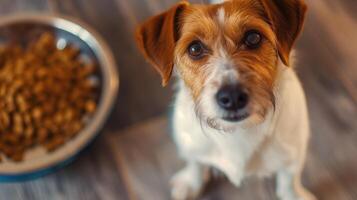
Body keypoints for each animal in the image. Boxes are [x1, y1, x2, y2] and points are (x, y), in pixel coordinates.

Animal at [134, 0, 314, 199]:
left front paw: (293, 194)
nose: (232, 97)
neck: (237, 132)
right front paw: (191, 182)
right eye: (195, 48)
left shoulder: (293, 155)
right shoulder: (190, 146)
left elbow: (289, 180)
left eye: (253, 37)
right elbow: (194, 164)